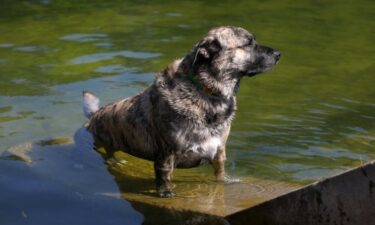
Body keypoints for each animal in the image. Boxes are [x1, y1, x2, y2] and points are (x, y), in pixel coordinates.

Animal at [83, 25, 282, 197]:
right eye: (248, 43)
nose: (278, 54)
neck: (206, 91)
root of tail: (95, 115)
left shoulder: (219, 152)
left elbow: (219, 173)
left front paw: (224, 181)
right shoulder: (166, 155)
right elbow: (164, 179)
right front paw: (165, 193)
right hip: (105, 141)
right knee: (107, 153)